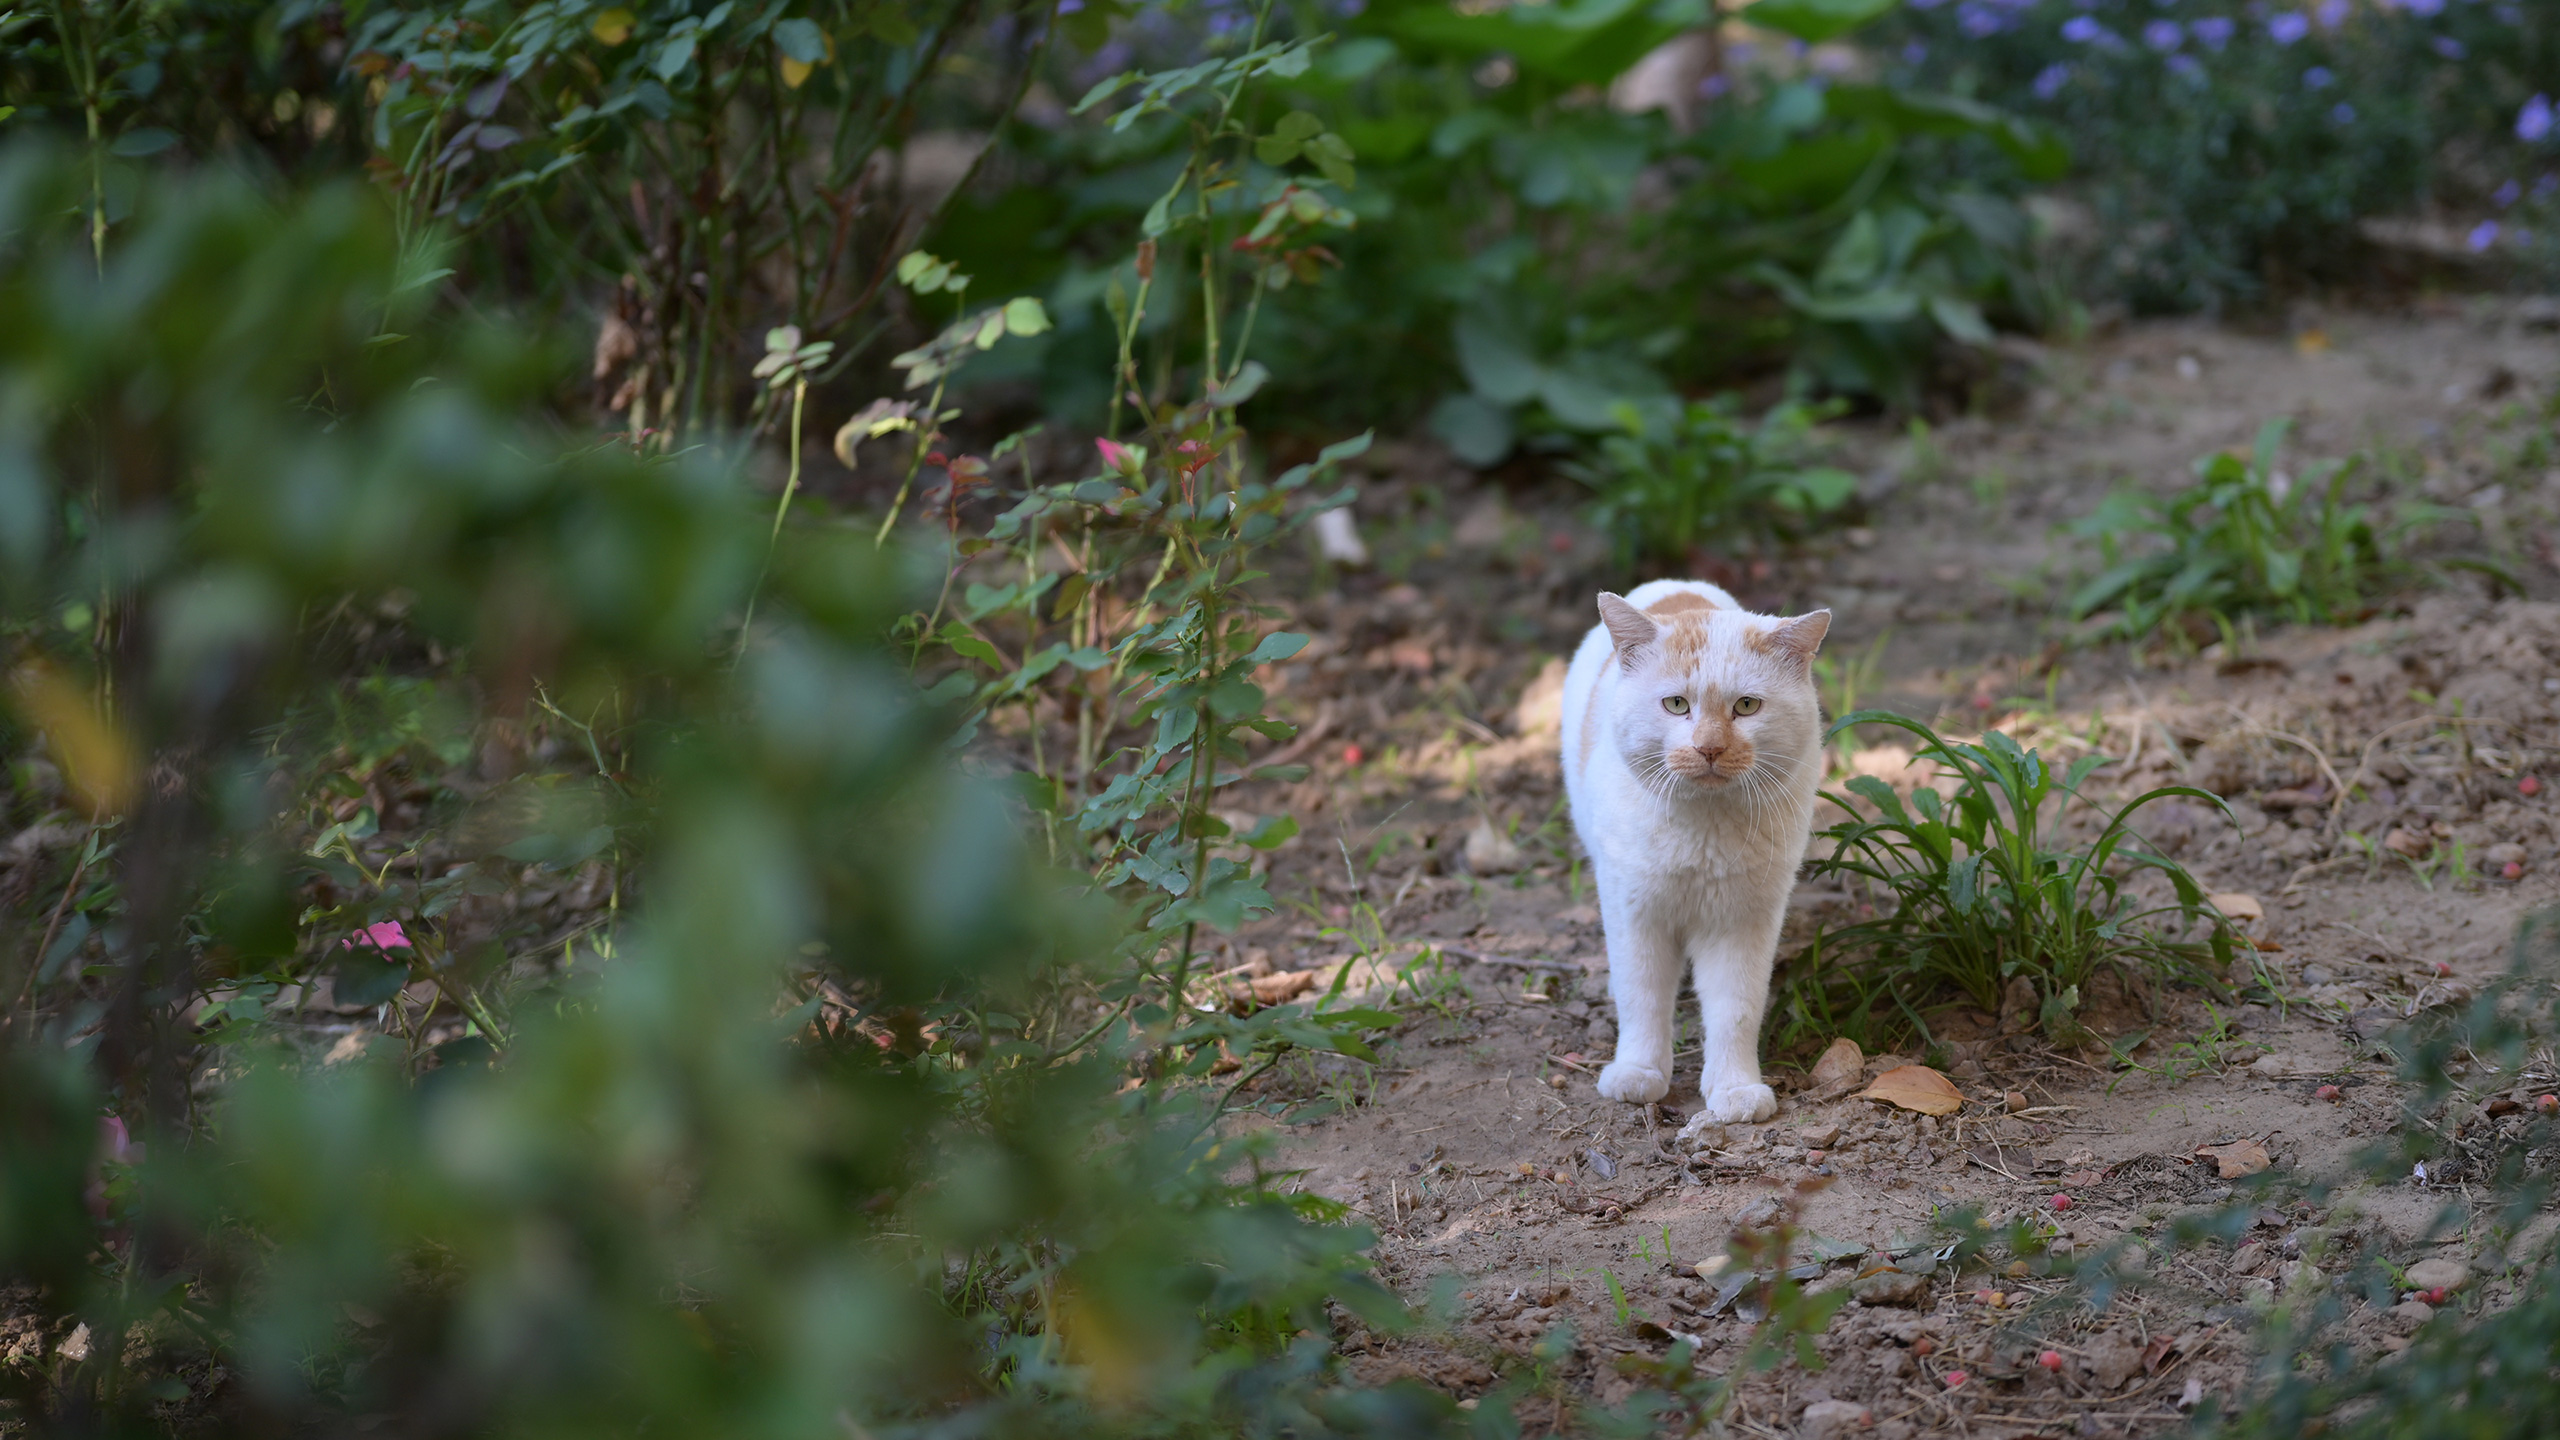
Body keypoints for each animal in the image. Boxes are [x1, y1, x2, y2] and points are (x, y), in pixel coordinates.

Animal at [1546, 576, 1832, 1127]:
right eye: (1676, 705)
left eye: (1747, 706)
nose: (1709, 747)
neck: (1705, 827)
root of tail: (1676, 585)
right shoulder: (1634, 912)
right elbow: (1641, 996)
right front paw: (1638, 1072)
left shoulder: (1744, 922)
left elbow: (1736, 1008)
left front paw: (1735, 1090)